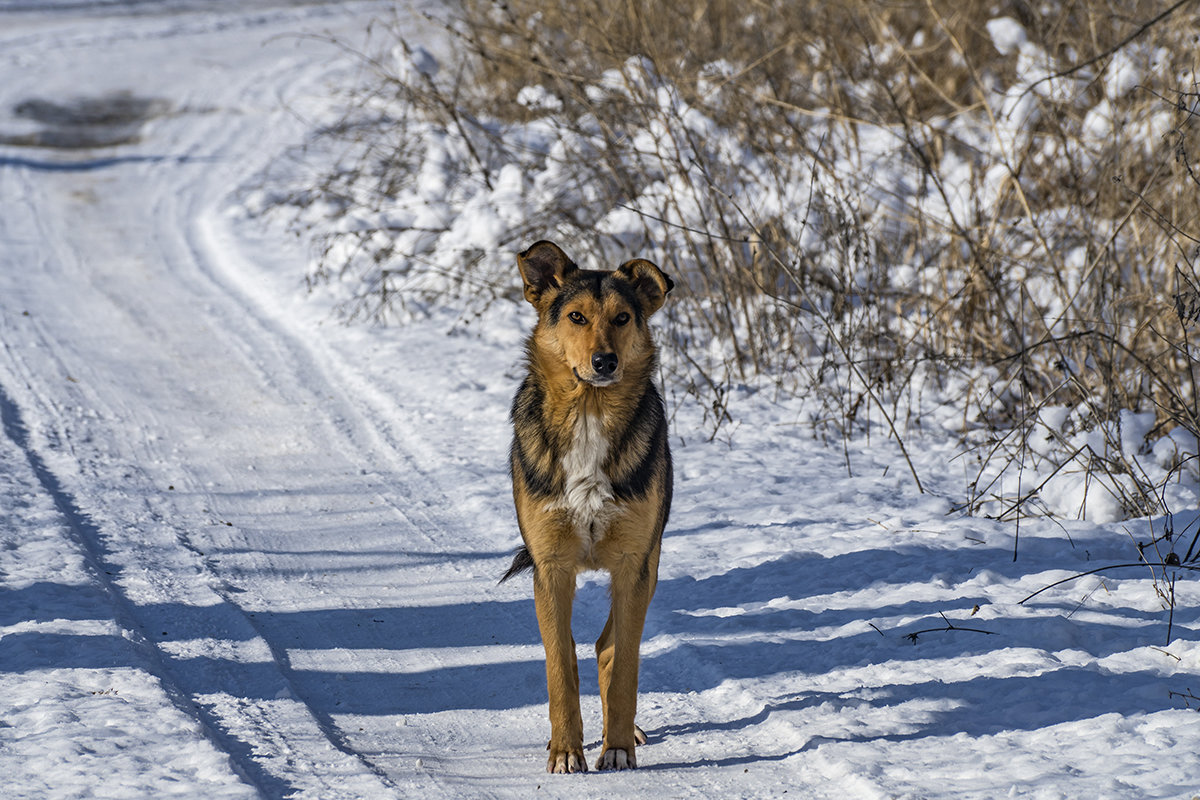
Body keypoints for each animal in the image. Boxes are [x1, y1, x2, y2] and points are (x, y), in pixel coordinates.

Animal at [499, 239, 676, 777]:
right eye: (576, 316)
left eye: (622, 318)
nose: (604, 362)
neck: (589, 412)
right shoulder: (551, 567)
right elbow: (561, 667)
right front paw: (565, 751)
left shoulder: (633, 565)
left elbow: (625, 666)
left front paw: (616, 747)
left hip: (649, 564)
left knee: (609, 646)